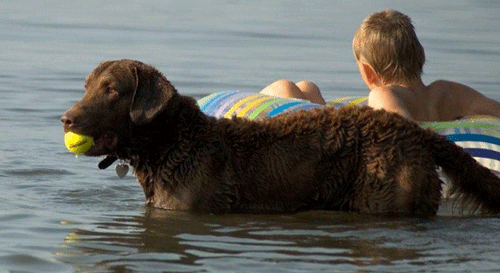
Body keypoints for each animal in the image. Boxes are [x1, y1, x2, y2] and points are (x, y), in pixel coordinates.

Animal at [61, 59, 500, 215]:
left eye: (111, 90)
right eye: (86, 86)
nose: (65, 119)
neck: (172, 142)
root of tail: (415, 132)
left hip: (386, 195)